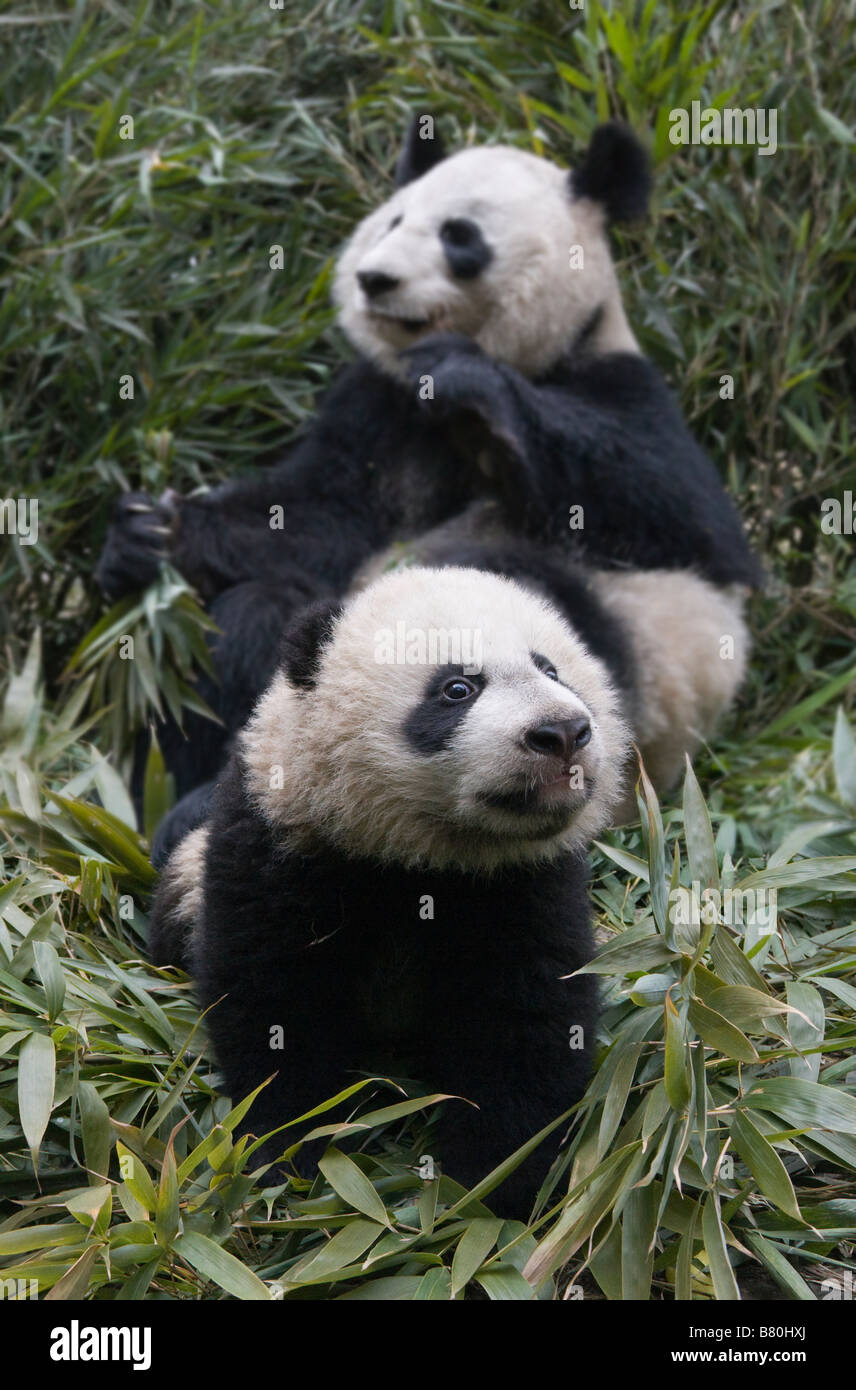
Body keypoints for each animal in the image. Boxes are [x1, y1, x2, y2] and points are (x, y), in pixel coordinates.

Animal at [95, 115, 760, 843]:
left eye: (459, 235)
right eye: (393, 220)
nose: (374, 279)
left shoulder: (625, 391)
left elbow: (689, 522)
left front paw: (467, 382)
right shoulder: (380, 406)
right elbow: (318, 510)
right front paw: (149, 534)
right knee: (249, 624)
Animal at [151, 565, 631, 1217]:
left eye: (551, 669)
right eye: (457, 688)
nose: (562, 732)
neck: (422, 854)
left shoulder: (528, 883)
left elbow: (527, 1023)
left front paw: (490, 1184)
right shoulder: (281, 849)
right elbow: (275, 1005)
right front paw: (295, 1152)